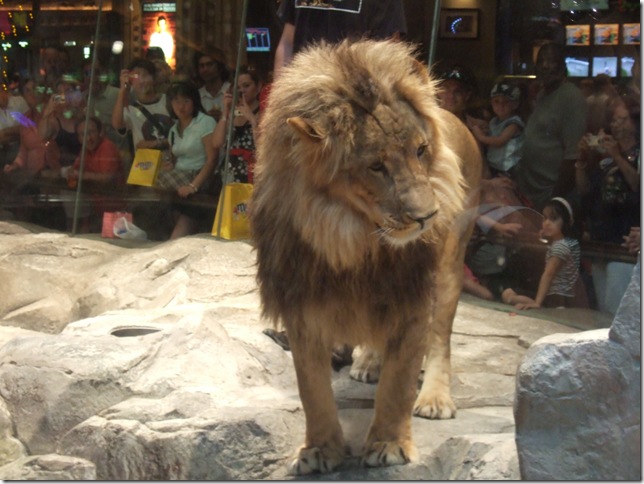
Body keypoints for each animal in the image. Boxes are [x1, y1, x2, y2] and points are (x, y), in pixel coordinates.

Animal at [250, 39, 481, 475]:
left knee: (440, 337)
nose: (428, 216)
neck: (354, 241)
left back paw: (435, 398)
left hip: (449, 269)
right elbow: (312, 388)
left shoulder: (414, 297)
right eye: (376, 166)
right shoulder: (302, 303)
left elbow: (400, 382)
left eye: (421, 151)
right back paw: (367, 363)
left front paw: (390, 445)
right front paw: (319, 450)